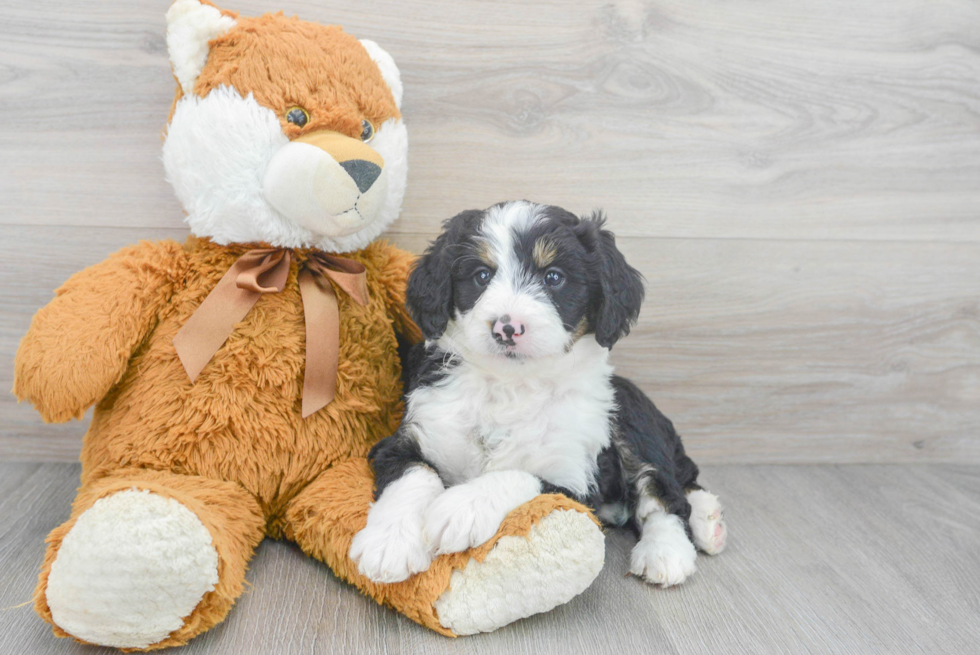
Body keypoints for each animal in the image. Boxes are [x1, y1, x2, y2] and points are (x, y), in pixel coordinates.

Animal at [352, 202, 728, 588]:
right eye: (482, 276)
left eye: (554, 277)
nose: (507, 328)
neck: (511, 386)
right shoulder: (410, 436)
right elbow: (414, 474)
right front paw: (389, 543)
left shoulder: (573, 479)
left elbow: (519, 475)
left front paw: (462, 507)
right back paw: (707, 522)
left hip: (631, 419)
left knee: (666, 493)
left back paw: (670, 549)